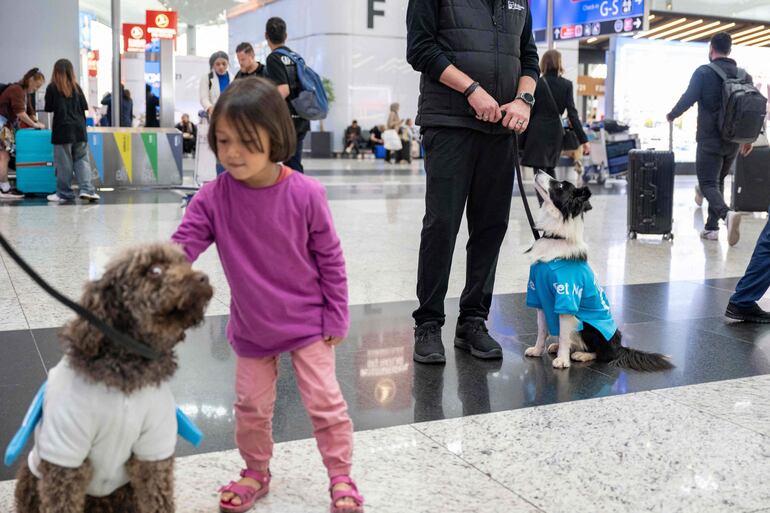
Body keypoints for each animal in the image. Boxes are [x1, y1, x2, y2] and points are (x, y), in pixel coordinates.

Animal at [14, 244, 213, 512]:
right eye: (154, 270)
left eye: (184, 262)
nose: (204, 278)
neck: (125, 380)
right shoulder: (65, 456)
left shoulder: (153, 452)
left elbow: (159, 500)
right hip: (29, 476)